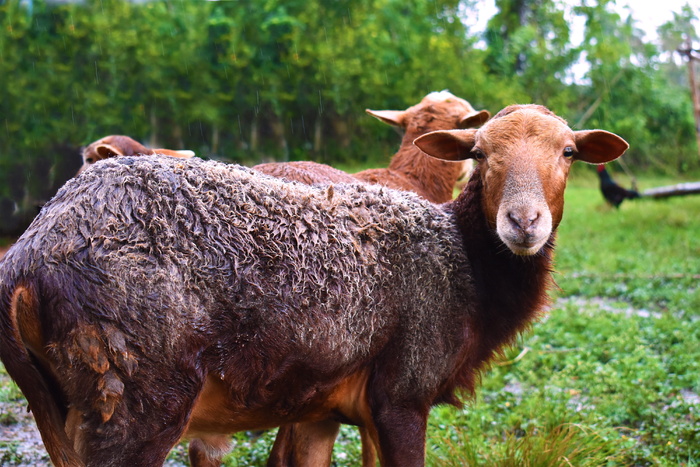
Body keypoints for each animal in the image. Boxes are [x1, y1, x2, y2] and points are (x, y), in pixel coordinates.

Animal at [0, 104, 628, 466]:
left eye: (569, 152)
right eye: (479, 152)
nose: (523, 222)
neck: (465, 271)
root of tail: (27, 259)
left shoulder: (325, 408)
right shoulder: (402, 394)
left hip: (56, 408)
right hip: (135, 400)